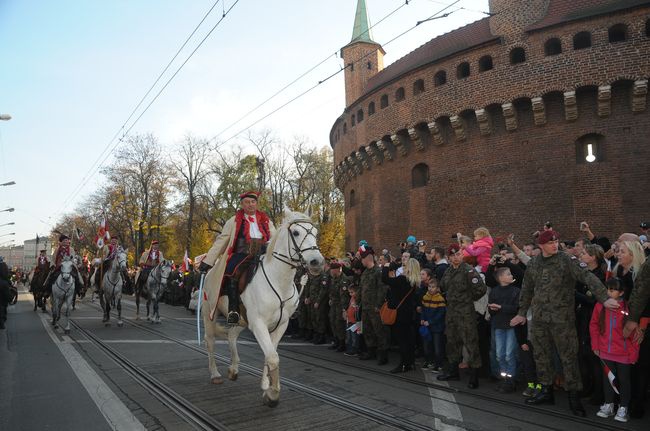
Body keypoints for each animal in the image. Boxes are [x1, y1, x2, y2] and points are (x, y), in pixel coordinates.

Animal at [201, 209, 322, 408]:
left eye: (315, 233)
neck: (279, 281)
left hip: (241, 319)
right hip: (209, 313)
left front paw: (266, 386)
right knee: (210, 341)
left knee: (231, 336)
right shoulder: (258, 324)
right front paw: (273, 394)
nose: (317, 262)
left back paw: (233, 369)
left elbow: (270, 354)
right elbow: (272, 357)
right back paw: (215, 374)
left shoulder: (281, 325)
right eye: (296, 232)